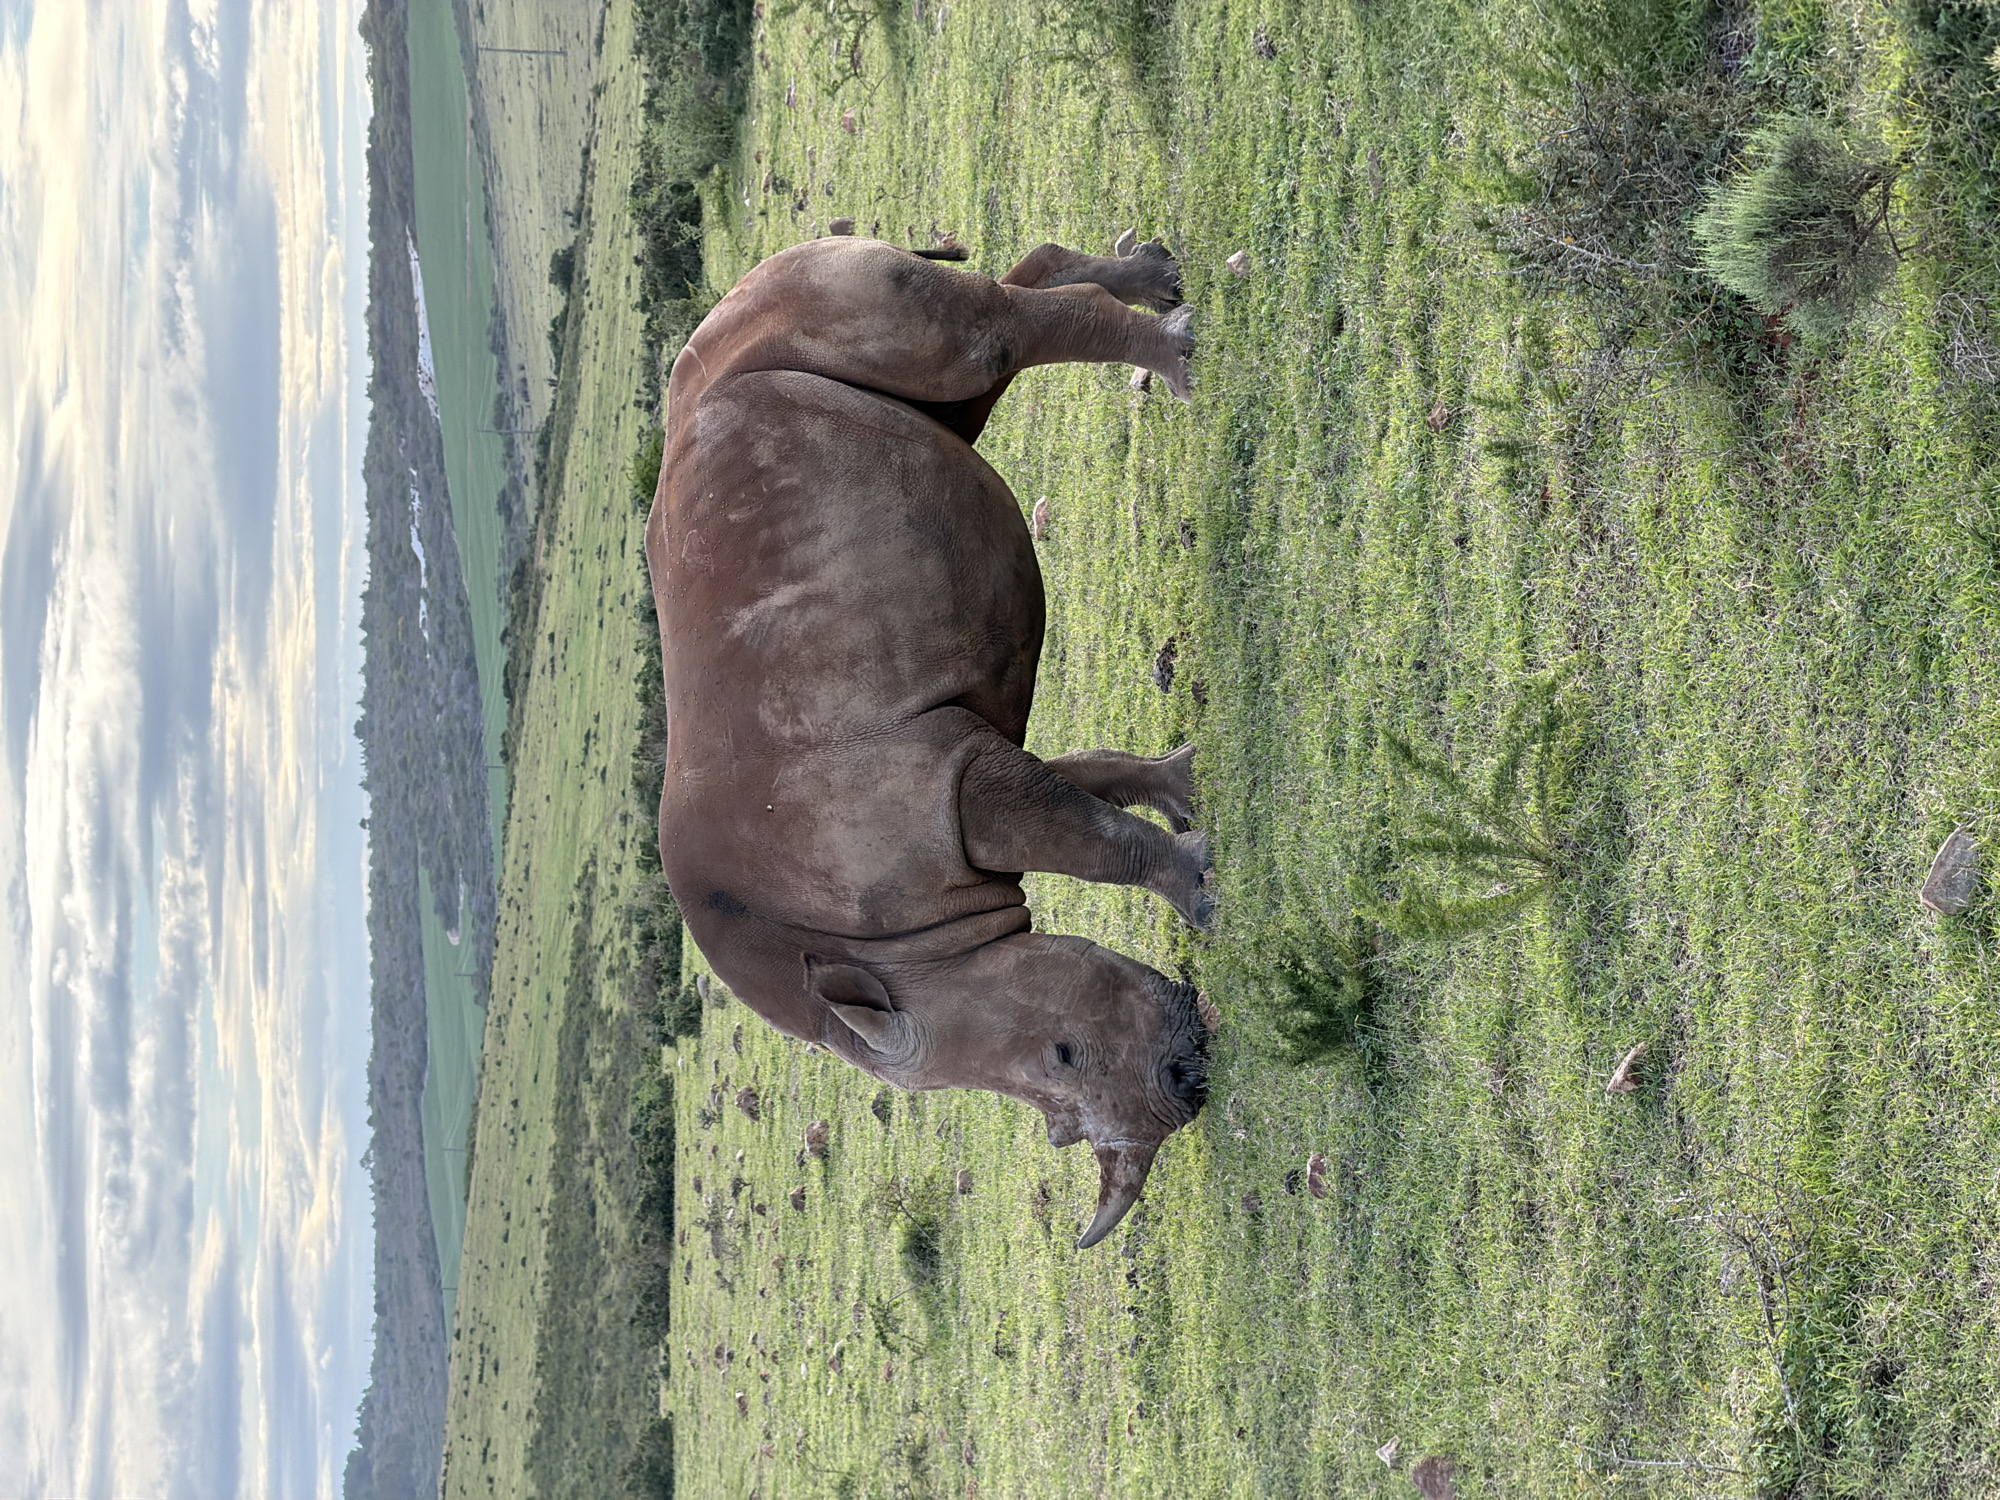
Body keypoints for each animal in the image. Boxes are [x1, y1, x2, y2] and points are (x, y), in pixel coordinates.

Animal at [644, 235, 1210, 1249]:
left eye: (1063, 1054)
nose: (1188, 1082)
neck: (907, 967)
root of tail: (748, 278)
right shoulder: (961, 759)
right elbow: (1089, 791)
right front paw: (1184, 797)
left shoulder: (945, 787)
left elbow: (1095, 842)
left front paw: (1202, 892)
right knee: (968, 387)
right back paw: (1161, 287)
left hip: (810, 295)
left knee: (975, 343)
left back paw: (1183, 359)